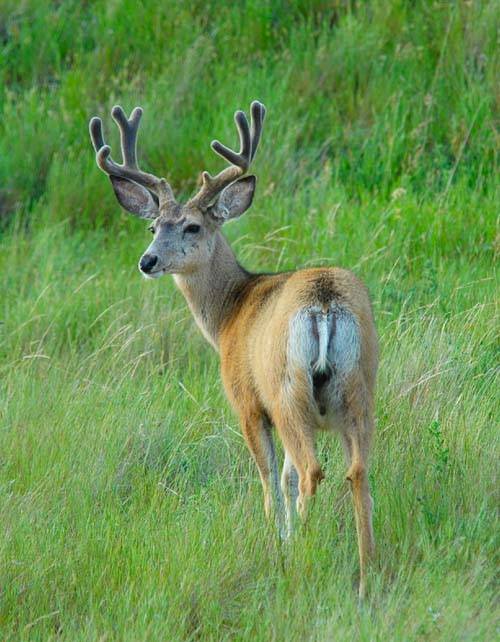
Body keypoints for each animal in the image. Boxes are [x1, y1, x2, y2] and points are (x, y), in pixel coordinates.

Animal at [90, 99, 378, 596]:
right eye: (152, 226)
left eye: (191, 226)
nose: (147, 261)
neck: (229, 314)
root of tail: (325, 303)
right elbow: (283, 477)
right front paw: (286, 539)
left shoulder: (246, 401)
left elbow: (270, 482)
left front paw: (279, 542)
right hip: (360, 385)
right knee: (355, 471)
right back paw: (367, 576)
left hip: (287, 390)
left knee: (311, 470)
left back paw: (306, 556)